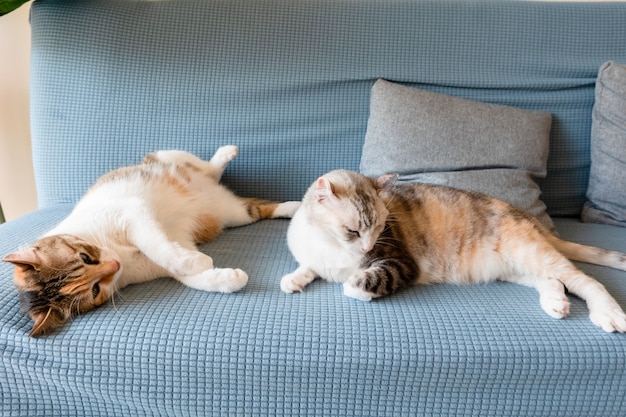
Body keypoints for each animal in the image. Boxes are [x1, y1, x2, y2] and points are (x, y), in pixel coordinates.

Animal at [3, 145, 300, 334]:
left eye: (85, 257)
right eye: (95, 290)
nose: (114, 265)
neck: (120, 253)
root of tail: (213, 191)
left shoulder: (134, 215)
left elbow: (160, 248)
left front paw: (199, 262)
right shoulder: (162, 257)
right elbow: (188, 275)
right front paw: (225, 277)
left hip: (167, 157)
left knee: (205, 167)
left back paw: (226, 153)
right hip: (234, 215)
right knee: (257, 209)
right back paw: (294, 208)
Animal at [282, 169, 624, 332]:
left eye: (379, 228)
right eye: (353, 231)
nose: (368, 245)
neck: (328, 245)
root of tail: (529, 217)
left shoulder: (400, 263)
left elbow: (359, 282)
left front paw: (353, 285)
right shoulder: (315, 256)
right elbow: (310, 267)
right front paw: (294, 279)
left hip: (531, 253)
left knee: (584, 280)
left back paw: (608, 314)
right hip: (516, 268)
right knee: (551, 280)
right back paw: (556, 304)